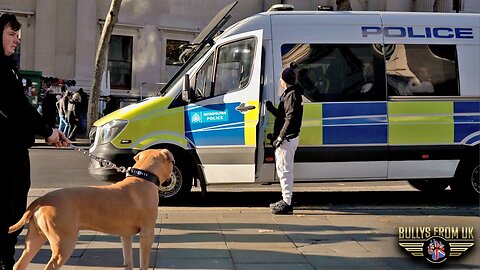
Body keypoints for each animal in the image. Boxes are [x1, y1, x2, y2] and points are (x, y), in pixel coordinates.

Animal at [8, 149, 173, 268]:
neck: (143, 177)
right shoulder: (147, 233)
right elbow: (144, 262)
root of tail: (42, 200)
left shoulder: (126, 235)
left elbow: (128, 261)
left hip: (35, 237)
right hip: (64, 242)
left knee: (20, 263)